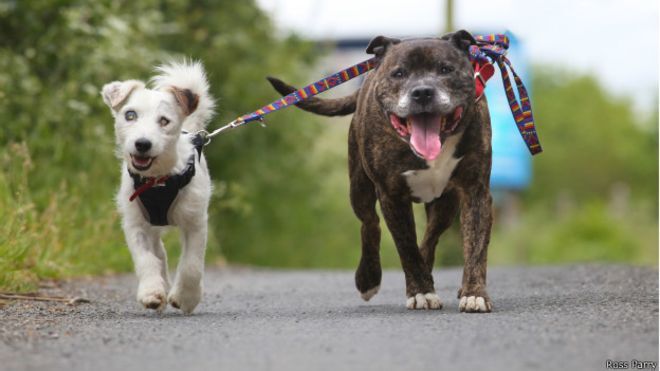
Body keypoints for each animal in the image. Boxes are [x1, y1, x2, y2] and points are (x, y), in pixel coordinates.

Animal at [101, 60, 214, 314]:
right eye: (130, 114)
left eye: (164, 121)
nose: (142, 144)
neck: (157, 181)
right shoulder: (135, 224)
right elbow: (146, 260)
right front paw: (151, 292)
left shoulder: (195, 222)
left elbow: (191, 265)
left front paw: (186, 297)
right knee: (159, 254)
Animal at [268, 30, 496, 312]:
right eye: (398, 73)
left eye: (445, 69)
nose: (422, 92)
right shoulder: (392, 196)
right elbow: (406, 247)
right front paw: (421, 292)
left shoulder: (475, 191)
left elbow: (475, 245)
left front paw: (474, 293)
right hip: (359, 188)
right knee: (370, 224)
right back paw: (368, 278)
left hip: (445, 203)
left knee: (430, 237)